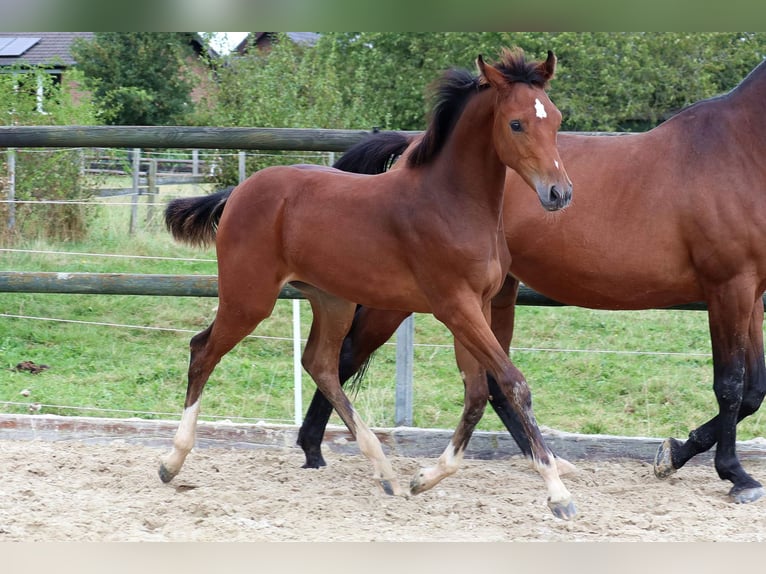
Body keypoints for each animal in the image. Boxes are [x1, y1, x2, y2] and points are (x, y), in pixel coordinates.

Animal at [165, 48, 580, 516]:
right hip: (248, 298)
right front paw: (558, 494)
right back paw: (172, 461)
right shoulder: (455, 305)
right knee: (203, 351)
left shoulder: (479, 305)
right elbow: (512, 383)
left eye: (556, 119)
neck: (452, 203)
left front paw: (425, 478)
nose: (559, 194)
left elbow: (476, 393)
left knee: (320, 363)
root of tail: (238, 192)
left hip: (332, 300)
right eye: (516, 123)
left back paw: (383, 469)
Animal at [298, 55, 766, 504]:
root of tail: (412, 150)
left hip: (495, 295)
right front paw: (735, 475)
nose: (559, 194)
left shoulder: (752, 292)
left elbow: (753, 390)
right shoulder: (728, 286)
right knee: (343, 357)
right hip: (402, 298)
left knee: (492, 383)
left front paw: (675, 454)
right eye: (517, 123)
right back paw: (315, 450)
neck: (740, 149)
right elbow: (730, 385)